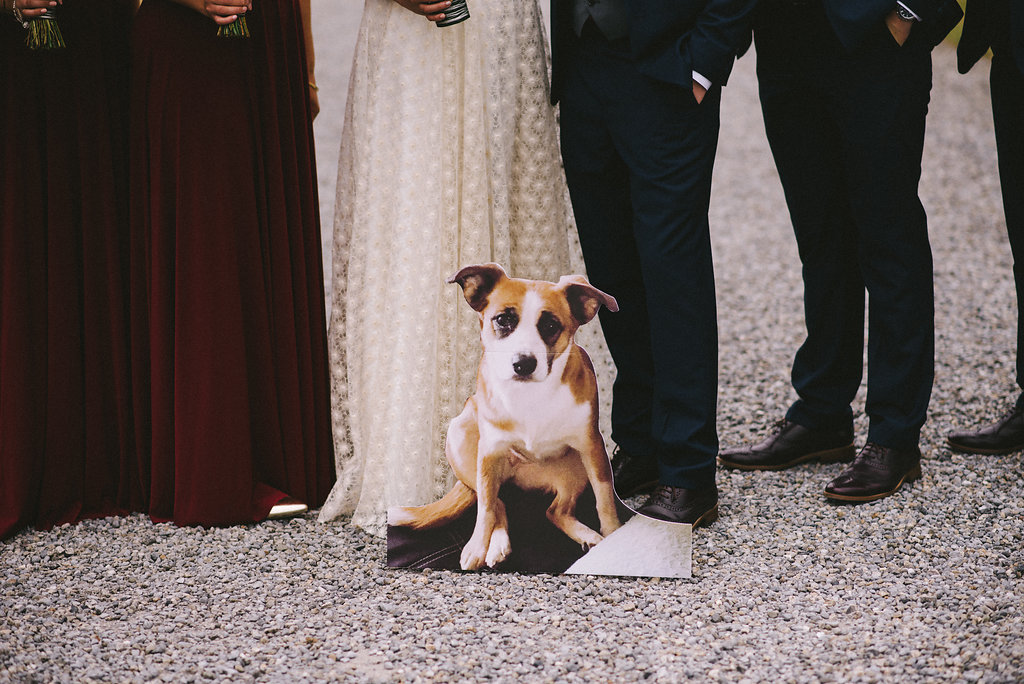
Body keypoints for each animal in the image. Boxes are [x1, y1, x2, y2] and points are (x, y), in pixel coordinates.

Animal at [387, 264, 618, 569]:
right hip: (462, 440)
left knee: (554, 511)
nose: (523, 363)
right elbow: (486, 507)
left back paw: (586, 535)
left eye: (550, 325)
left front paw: (615, 535)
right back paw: (496, 544)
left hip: (575, 470)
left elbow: (605, 499)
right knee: (497, 502)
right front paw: (477, 547)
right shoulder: (489, 451)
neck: (529, 395)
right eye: (503, 320)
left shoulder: (592, 447)